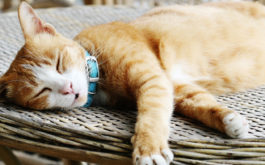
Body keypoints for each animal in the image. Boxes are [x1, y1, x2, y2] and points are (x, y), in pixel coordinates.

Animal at [0, 1, 264, 165]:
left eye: (58, 63)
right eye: (41, 92)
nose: (69, 88)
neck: (98, 73)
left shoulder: (153, 81)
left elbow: (151, 116)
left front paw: (149, 149)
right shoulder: (172, 86)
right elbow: (198, 103)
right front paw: (228, 120)